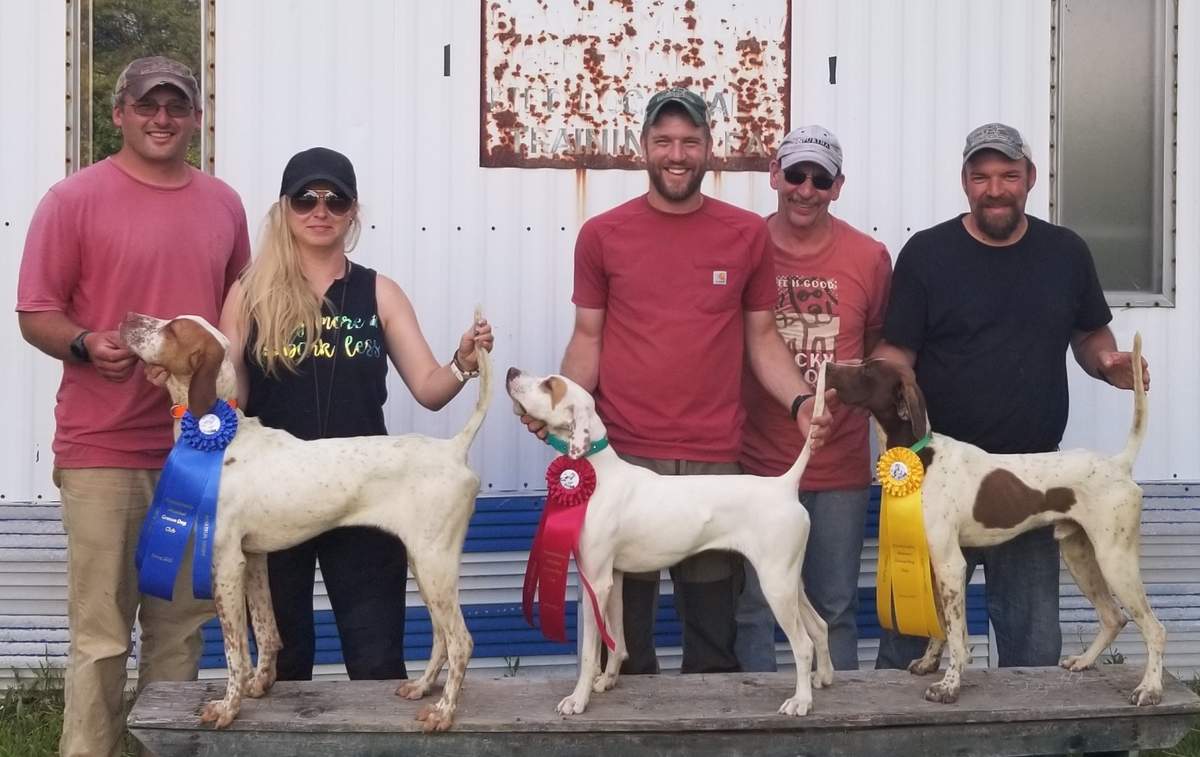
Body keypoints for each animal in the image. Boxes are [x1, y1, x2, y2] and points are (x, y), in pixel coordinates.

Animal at [113, 311, 487, 729]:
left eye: (174, 329)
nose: (128, 317)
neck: (221, 436)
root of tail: (453, 448)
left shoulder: (225, 562)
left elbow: (234, 650)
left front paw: (228, 707)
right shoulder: (253, 559)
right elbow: (266, 630)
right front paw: (260, 684)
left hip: (433, 562)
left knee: (461, 641)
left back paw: (444, 712)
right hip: (426, 565)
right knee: (441, 637)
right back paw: (422, 688)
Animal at [506, 369, 835, 719]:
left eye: (549, 385)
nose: (511, 371)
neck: (597, 472)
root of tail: (784, 485)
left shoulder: (595, 581)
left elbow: (589, 653)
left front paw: (578, 699)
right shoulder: (614, 579)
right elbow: (617, 639)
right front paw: (607, 680)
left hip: (776, 585)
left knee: (803, 644)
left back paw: (801, 701)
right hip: (790, 582)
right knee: (820, 626)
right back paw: (824, 677)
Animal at [825, 333, 1161, 710]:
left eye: (868, 370)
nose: (829, 366)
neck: (920, 456)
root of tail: (1119, 464)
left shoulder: (951, 564)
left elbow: (957, 637)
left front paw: (949, 686)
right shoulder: (935, 565)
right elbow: (942, 627)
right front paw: (929, 663)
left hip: (1114, 559)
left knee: (1154, 628)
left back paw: (1150, 688)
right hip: (1080, 555)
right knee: (1113, 617)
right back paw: (1085, 661)